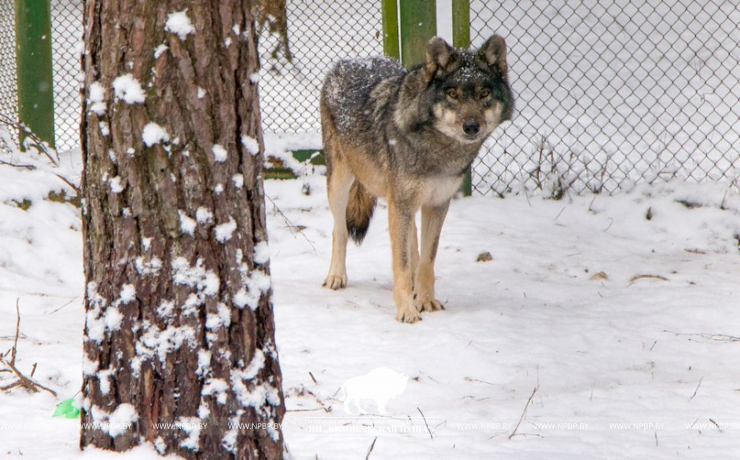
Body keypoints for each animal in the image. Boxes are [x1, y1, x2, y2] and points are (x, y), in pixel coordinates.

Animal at [320, 35, 512, 324]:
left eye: (484, 93)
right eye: (452, 94)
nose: (471, 127)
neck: (438, 149)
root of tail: (350, 60)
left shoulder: (437, 203)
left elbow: (426, 260)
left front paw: (425, 300)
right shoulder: (400, 203)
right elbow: (400, 263)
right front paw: (406, 311)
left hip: (404, 204)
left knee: (412, 244)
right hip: (341, 184)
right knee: (338, 230)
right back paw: (336, 276)